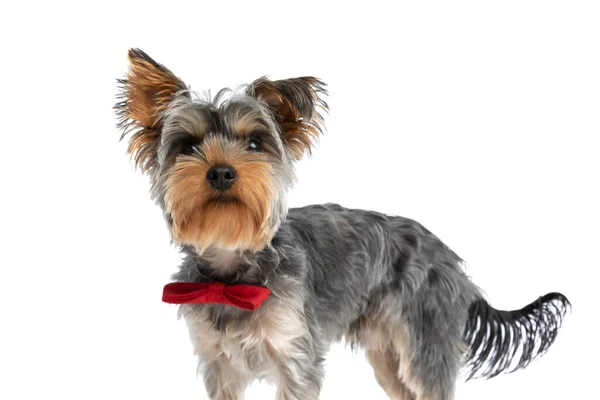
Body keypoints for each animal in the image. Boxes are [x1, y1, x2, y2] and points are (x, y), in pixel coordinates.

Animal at [116, 48, 572, 398]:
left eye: (255, 143)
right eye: (188, 145)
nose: (223, 173)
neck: (234, 274)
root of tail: (451, 262)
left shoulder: (296, 357)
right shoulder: (220, 364)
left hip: (424, 340)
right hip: (387, 352)